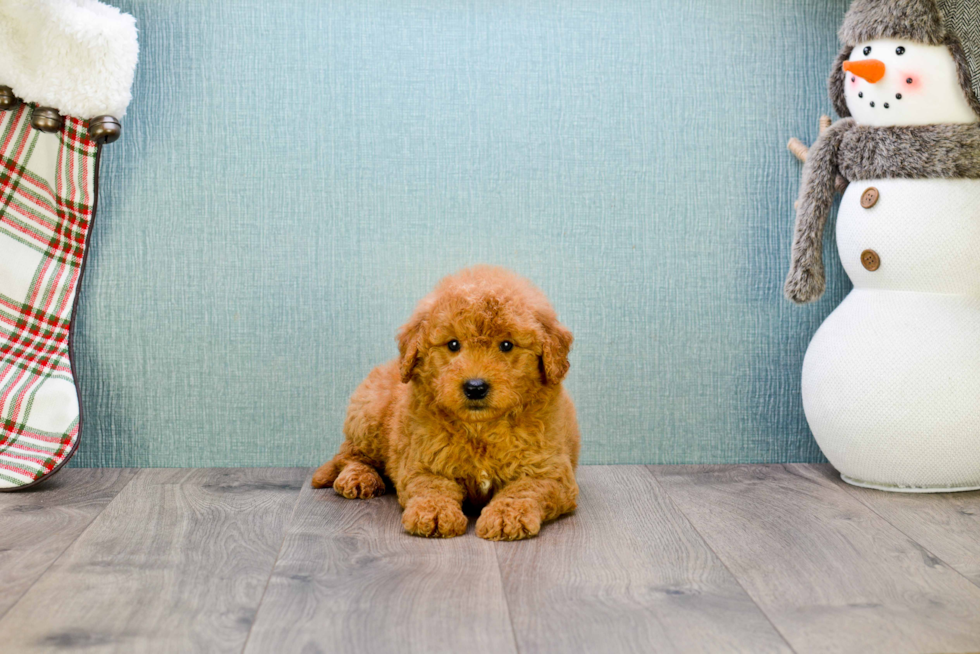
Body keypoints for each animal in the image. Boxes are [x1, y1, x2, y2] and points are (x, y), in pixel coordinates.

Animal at [310, 264, 580, 540]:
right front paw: (435, 513)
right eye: (453, 344)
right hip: (368, 414)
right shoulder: (422, 463)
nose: (475, 387)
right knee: (350, 454)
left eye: (506, 345)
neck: (481, 428)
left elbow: (524, 490)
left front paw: (507, 516)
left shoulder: (549, 471)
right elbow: (432, 487)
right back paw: (359, 477)